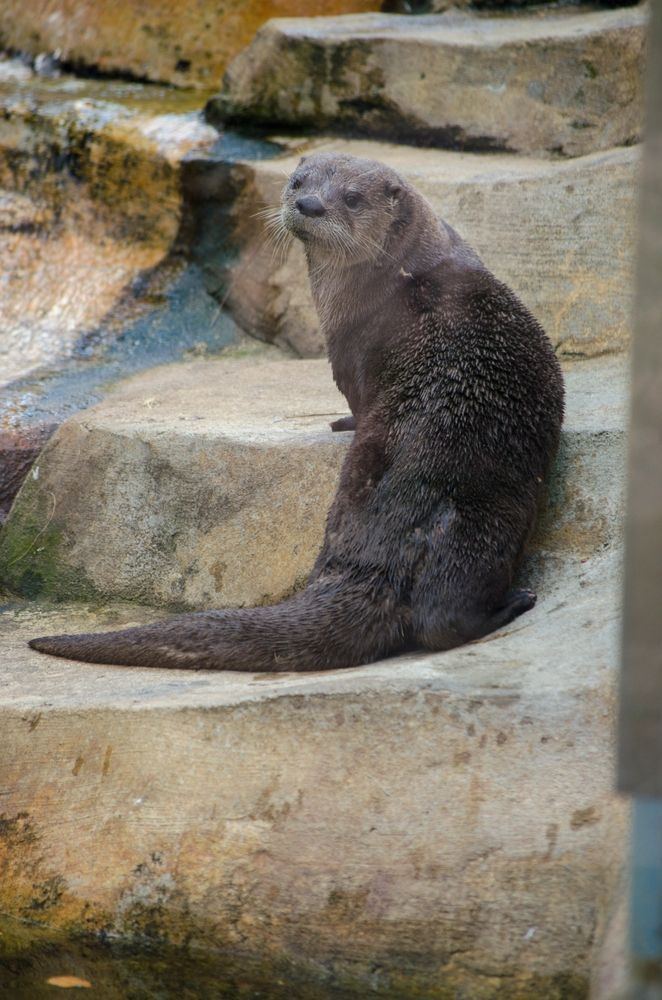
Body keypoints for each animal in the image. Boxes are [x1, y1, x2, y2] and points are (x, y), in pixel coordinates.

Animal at [29, 152, 564, 671]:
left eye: (351, 197)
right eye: (297, 182)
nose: (309, 204)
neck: (400, 275)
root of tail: (374, 558)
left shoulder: (345, 348)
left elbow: (355, 400)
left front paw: (344, 422)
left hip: (478, 522)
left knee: (443, 621)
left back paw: (516, 601)